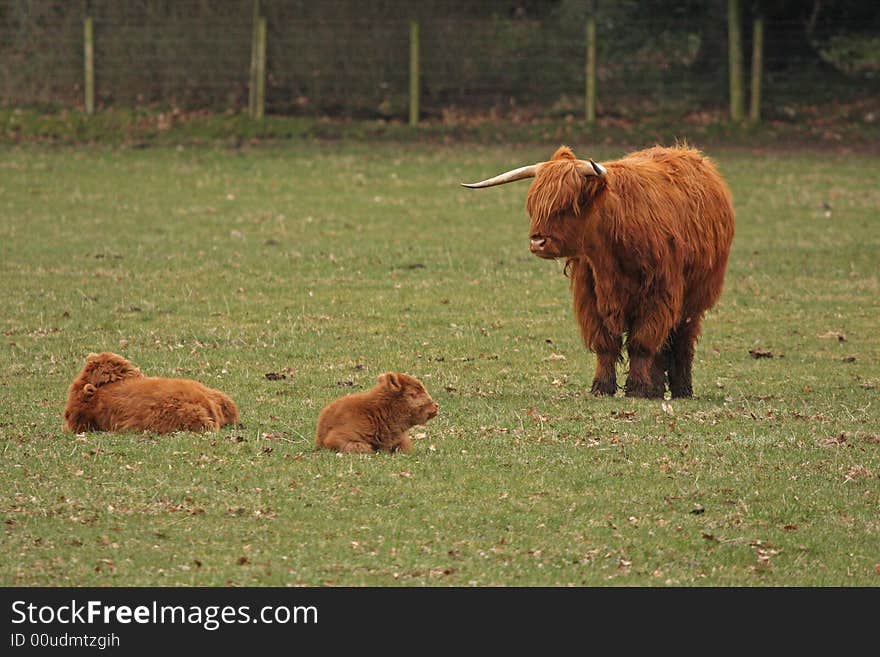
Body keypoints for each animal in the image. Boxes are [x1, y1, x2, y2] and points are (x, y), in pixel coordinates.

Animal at [464, 144, 732, 398]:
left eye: (566, 206)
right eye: (534, 207)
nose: (537, 242)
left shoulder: (659, 295)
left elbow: (643, 342)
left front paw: (637, 388)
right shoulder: (590, 297)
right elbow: (606, 343)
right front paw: (602, 386)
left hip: (693, 300)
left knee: (683, 339)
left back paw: (681, 389)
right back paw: (656, 389)